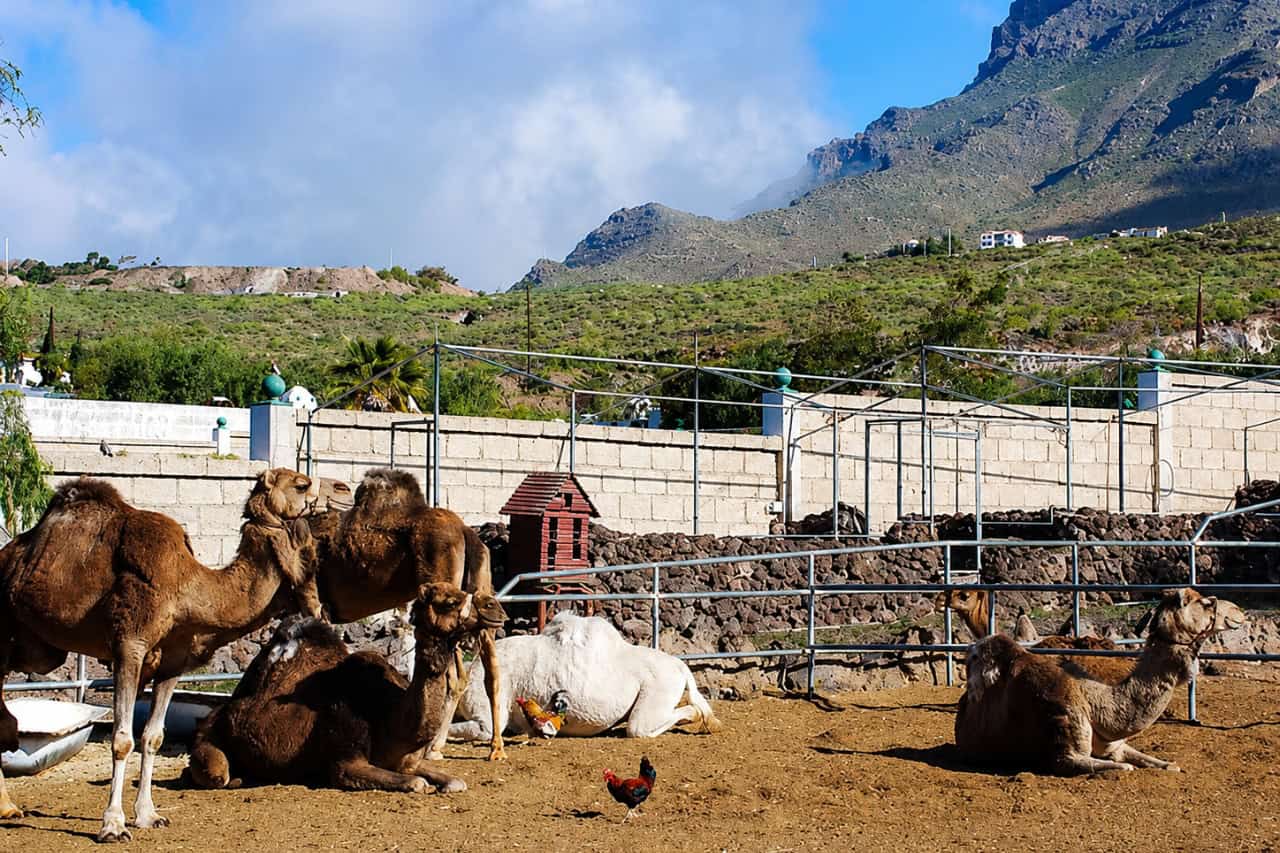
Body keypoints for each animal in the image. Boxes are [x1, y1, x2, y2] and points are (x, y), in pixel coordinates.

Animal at [0, 469, 320, 842]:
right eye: (300, 484)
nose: (326, 493)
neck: (190, 590)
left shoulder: (172, 662)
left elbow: (153, 736)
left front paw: (148, 815)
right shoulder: (129, 646)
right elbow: (122, 740)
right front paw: (113, 825)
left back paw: (8, 808)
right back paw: (8, 807)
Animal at [187, 583, 506, 792]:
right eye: (448, 601)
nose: (496, 607)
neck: (389, 714)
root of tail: (211, 716)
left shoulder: (404, 760)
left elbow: (455, 782)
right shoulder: (345, 760)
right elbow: (415, 783)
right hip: (209, 743)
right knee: (217, 774)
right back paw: (238, 778)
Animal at [307, 468, 507, 760]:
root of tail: (466, 532)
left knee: (453, 675)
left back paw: (434, 747)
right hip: (479, 594)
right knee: (488, 673)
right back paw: (493, 748)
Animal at [954, 587, 1245, 775]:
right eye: (1206, 603)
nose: (1239, 611)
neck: (1098, 704)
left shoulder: (1115, 744)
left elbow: (1162, 763)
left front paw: (1168, 764)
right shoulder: (1064, 752)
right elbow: (1121, 767)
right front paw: (1126, 767)